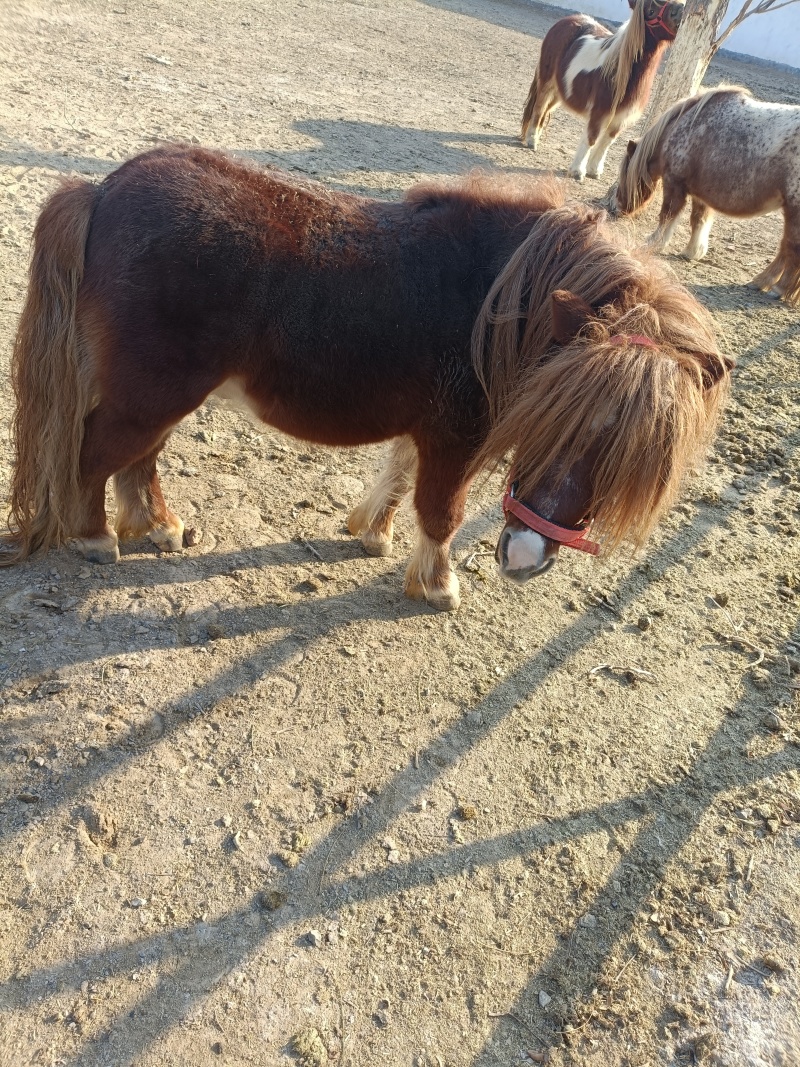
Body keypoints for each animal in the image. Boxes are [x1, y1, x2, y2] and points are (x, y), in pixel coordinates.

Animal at [4, 146, 732, 611]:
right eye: (552, 423)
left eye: (623, 461)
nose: (524, 558)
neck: (496, 301)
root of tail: (103, 191)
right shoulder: (455, 439)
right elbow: (440, 507)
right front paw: (437, 585)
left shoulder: (426, 427)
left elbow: (399, 472)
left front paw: (371, 532)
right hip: (153, 392)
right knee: (97, 451)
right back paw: (97, 537)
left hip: (163, 393)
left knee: (138, 458)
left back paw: (159, 526)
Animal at [520, 0, 683, 182]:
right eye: (652, 9)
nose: (683, 10)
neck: (618, 72)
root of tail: (565, 21)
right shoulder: (598, 113)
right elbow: (592, 138)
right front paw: (577, 171)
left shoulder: (620, 118)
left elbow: (607, 142)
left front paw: (594, 170)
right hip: (546, 83)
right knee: (539, 108)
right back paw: (532, 140)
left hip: (560, 91)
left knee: (545, 111)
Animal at [610, 86, 800, 305]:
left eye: (624, 174)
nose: (616, 207)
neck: (684, 127)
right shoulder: (700, 195)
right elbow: (698, 220)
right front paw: (693, 251)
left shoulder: (674, 183)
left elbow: (667, 215)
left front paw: (654, 242)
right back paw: (760, 282)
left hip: (793, 210)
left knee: (790, 248)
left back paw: (777, 288)